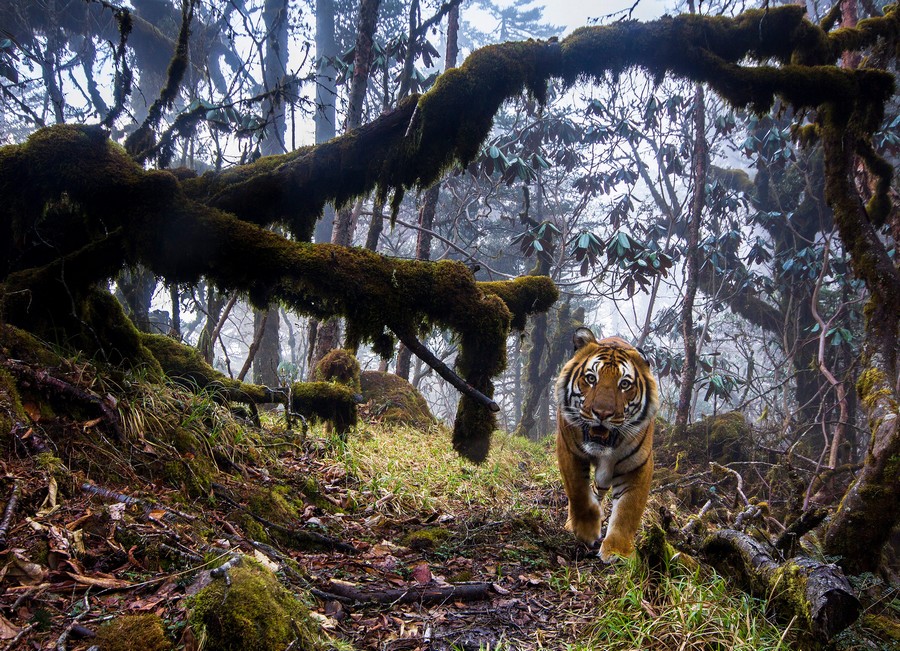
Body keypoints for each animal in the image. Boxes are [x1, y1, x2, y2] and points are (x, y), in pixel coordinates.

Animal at [552, 328, 656, 564]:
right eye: (591, 378)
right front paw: (586, 530)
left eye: (624, 384)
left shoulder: (638, 465)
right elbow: (578, 491)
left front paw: (617, 551)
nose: (602, 413)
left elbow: (628, 509)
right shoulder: (568, 449)